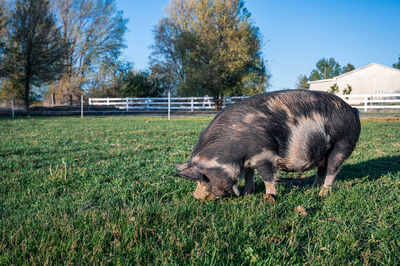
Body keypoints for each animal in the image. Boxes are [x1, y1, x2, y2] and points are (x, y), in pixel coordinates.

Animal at [173, 90, 360, 202]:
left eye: (204, 179)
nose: (195, 196)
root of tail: (353, 110)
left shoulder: (265, 155)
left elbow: (267, 177)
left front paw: (269, 197)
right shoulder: (248, 161)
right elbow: (248, 176)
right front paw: (248, 194)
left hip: (343, 143)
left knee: (333, 169)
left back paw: (323, 194)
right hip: (322, 151)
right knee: (321, 169)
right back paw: (312, 189)